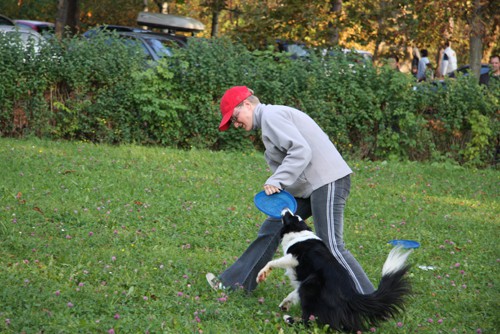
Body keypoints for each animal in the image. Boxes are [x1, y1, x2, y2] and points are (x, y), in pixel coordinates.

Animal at [256, 209, 412, 332]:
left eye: (291, 216)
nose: (286, 208)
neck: (299, 231)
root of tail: (352, 295)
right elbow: (293, 293)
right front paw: (285, 303)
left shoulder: (295, 258)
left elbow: (273, 262)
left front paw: (262, 274)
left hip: (311, 284)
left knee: (309, 320)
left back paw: (289, 319)